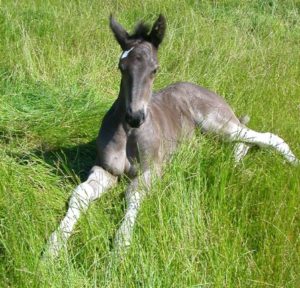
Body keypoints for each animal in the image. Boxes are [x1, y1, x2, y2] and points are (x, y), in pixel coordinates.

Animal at [45, 14, 300, 258]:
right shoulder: (105, 169)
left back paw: (289, 162)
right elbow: (80, 194)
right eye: (121, 66)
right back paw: (233, 163)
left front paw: (120, 249)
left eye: (155, 69)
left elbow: (133, 194)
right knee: (243, 142)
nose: (135, 117)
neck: (129, 134)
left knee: (266, 137)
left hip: (216, 122)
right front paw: (53, 247)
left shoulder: (153, 169)